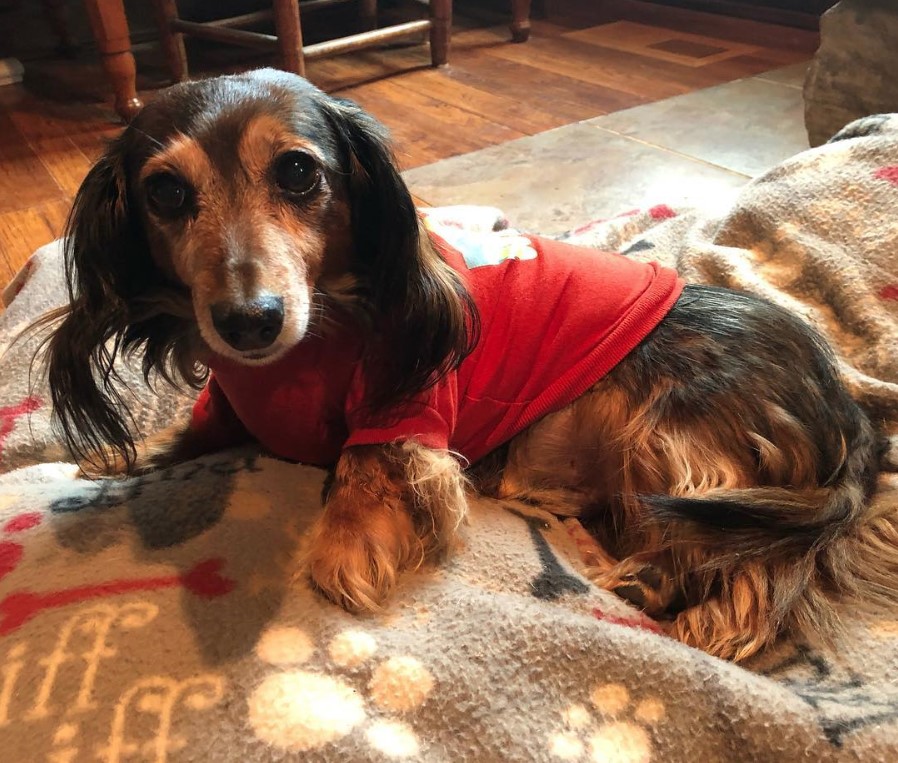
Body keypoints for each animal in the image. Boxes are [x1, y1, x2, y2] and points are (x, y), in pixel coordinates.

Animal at [38, 68, 896, 660]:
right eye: (165, 192)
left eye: (298, 172)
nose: (250, 320)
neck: (309, 340)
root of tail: (848, 407)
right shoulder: (230, 395)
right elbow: (198, 425)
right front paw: (126, 452)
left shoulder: (408, 411)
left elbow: (364, 469)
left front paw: (343, 546)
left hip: (683, 445)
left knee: (763, 566)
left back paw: (687, 602)